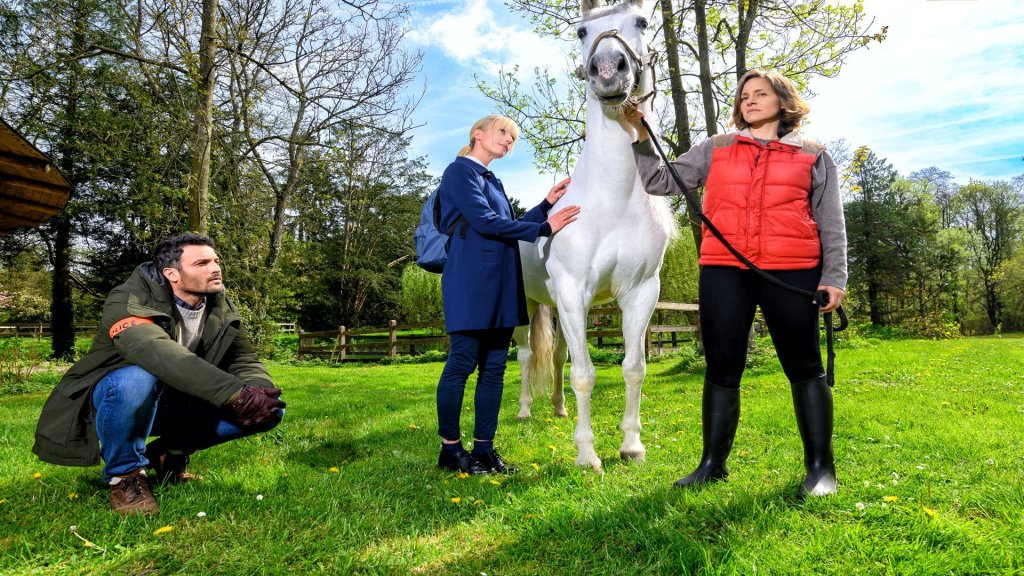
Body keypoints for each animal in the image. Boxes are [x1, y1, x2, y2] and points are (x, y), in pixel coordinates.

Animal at [516, 0, 675, 467]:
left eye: (642, 21)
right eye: (582, 31)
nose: (607, 70)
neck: (612, 200)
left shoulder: (640, 293)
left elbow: (633, 368)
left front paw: (631, 446)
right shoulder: (573, 292)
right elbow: (584, 374)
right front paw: (587, 454)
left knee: (557, 356)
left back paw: (557, 408)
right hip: (528, 306)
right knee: (526, 354)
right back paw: (524, 412)